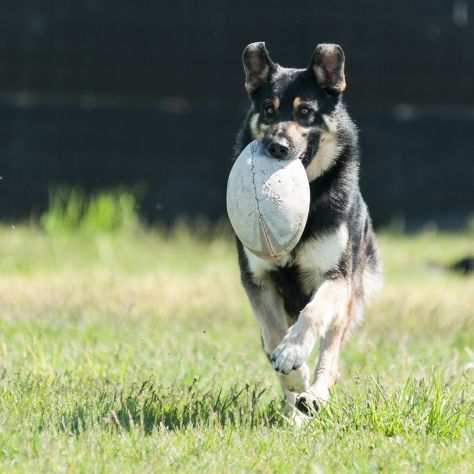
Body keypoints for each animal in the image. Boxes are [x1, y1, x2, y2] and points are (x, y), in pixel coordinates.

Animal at [232, 40, 382, 418]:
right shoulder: (259, 281)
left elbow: (313, 315)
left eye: (305, 112)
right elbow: (273, 335)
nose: (276, 147)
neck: (310, 194)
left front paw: (294, 353)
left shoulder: (337, 277)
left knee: (330, 353)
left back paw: (314, 396)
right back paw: (294, 405)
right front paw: (292, 370)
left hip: (348, 300)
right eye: (268, 110)